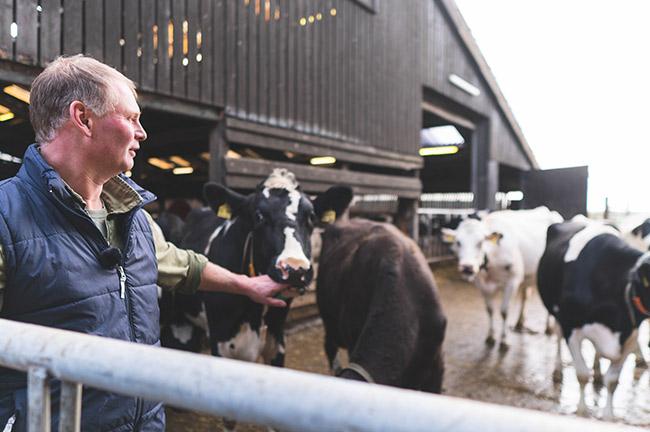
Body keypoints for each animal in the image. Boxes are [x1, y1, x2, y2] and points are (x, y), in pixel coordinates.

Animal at [442, 207, 560, 352]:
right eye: (458, 242)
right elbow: (489, 310)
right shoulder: (482, 284)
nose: (467, 267)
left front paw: (504, 341)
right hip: (528, 276)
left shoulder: (512, 281)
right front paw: (490, 337)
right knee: (525, 296)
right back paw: (519, 322)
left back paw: (549, 327)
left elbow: (504, 311)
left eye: (480, 242)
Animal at [536, 218, 648, 416]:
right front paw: (582, 410)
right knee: (557, 337)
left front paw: (609, 415)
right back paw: (558, 371)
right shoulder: (570, 328)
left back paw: (597, 372)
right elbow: (581, 374)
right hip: (557, 315)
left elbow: (612, 381)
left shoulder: (630, 337)